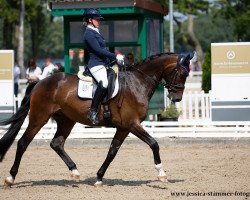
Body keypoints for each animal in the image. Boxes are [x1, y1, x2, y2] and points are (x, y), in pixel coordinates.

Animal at [0, 51, 194, 188]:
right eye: (182, 73)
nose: (177, 98)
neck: (137, 83)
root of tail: (40, 82)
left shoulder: (124, 127)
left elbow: (112, 152)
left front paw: (99, 178)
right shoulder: (132, 124)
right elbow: (154, 143)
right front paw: (161, 174)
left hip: (66, 120)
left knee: (56, 143)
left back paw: (75, 171)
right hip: (39, 117)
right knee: (23, 143)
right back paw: (10, 178)